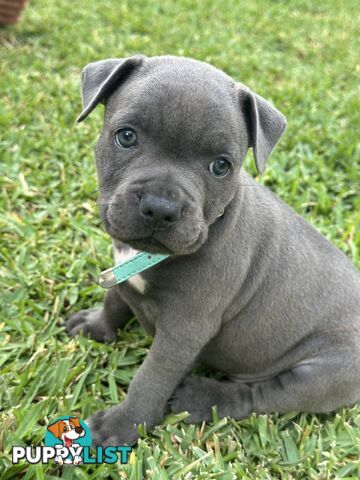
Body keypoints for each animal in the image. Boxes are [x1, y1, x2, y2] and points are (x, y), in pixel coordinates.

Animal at [65, 55, 360, 446]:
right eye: (126, 136)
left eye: (221, 166)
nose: (160, 207)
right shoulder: (123, 274)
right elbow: (115, 301)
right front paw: (95, 326)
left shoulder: (183, 330)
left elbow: (152, 377)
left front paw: (122, 425)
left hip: (325, 372)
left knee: (262, 396)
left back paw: (201, 398)